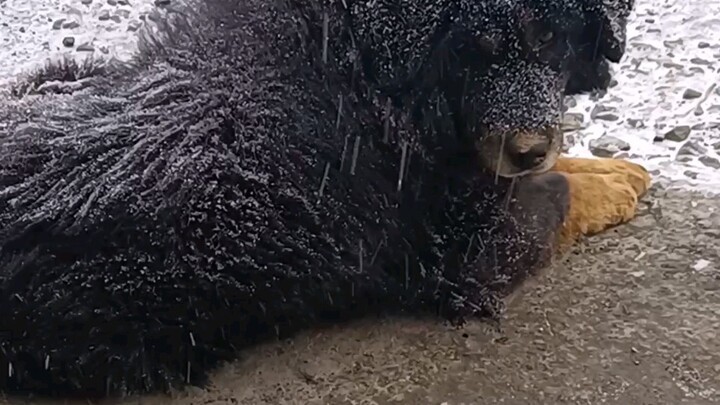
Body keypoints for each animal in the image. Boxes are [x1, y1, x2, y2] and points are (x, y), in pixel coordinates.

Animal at [0, 0, 632, 396]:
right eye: (471, 51)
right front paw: (614, 180)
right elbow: (560, 193)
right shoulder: (468, 254)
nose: (528, 150)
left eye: (546, 38)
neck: (380, 73)